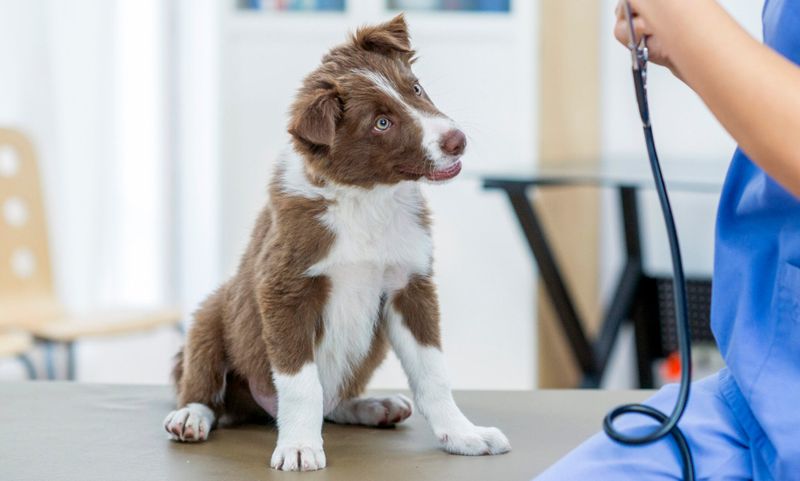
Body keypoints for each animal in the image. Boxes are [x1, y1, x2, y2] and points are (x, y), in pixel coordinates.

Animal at [163, 14, 510, 468]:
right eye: (381, 123)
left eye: (415, 88)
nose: (457, 140)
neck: (367, 200)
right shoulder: (284, 289)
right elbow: (301, 384)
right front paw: (298, 446)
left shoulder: (410, 285)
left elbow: (433, 373)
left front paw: (463, 434)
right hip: (211, 314)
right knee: (205, 385)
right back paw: (191, 415)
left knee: (334, 402)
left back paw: (371, 406)